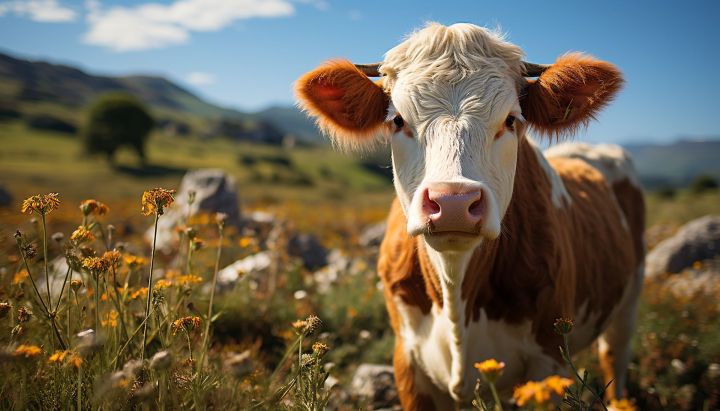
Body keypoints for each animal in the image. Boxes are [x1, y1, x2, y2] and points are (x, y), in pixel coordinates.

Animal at [296, 23, 644, 411]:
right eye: (397, 120)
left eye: (511, 120)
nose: (453, 202)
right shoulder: (407, 362)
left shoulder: (549, 362)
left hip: (629, 300)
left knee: (615, 357)